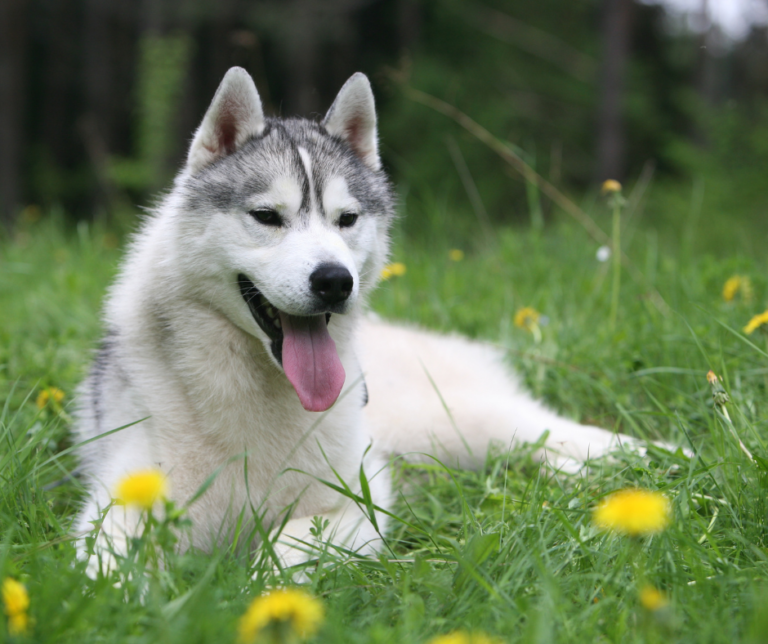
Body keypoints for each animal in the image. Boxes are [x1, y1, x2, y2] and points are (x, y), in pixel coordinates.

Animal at [75, 68, 640, 576]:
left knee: (564, 433)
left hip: (465, 422)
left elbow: (283, 554)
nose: (334, 281)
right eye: (267, 217)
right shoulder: (122, 507)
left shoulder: (356, 502)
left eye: (346, 219)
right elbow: (105, 569)